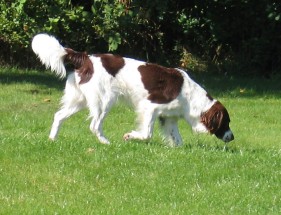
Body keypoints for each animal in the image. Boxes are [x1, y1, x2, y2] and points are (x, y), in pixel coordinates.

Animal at [31, 33, 234, 146]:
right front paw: (129, 136)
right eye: (226, 122)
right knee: (94, 125)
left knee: (59, 116)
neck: (190, 98)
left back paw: (52, 140)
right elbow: (147, 133)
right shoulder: (150, 106)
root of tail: (86, 58)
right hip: (105, 100)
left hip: (80, 99)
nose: (232, 137)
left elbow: (178, 141)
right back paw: (106, 143)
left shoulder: (169, 117)